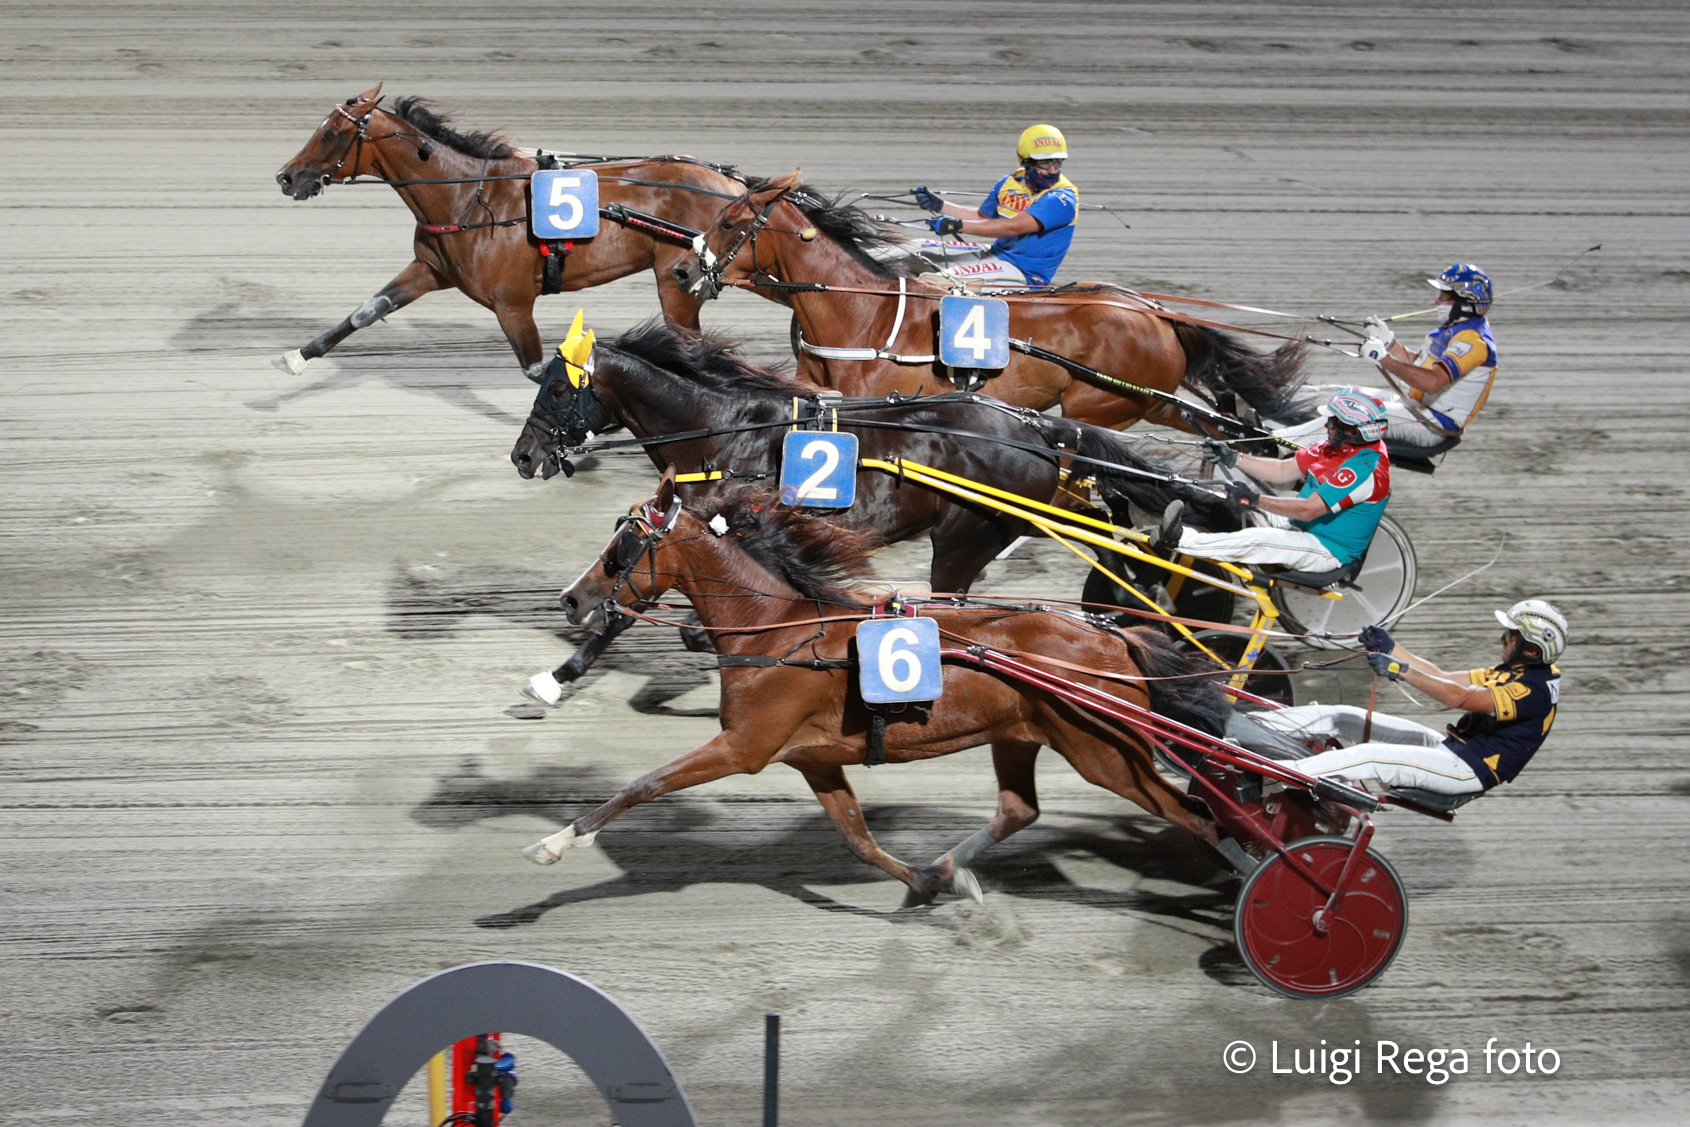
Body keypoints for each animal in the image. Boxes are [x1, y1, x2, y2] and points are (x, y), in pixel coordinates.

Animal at [273, 84, 750, 383]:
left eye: (332, 134)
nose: (286, 177)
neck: (467, 196)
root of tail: (736, 187)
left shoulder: (513, 303)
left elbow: (539, 370)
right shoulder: (430, 268)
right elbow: (367, 311)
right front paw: (297, 356)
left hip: (677, 285)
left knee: (695, 348)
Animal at [520, 473, 1237, 905]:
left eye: (624, 544)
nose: (570, 598)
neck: (775, 629)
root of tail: (1114, 638)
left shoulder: (744, 746)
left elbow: (643, 784)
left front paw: (556, 843)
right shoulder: (813, 759)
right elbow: (858, 838)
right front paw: (926, 882)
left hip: (1106, 754)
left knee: (1195, 813)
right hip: (1021, 735)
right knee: (1018, 809)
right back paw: (951, 866)